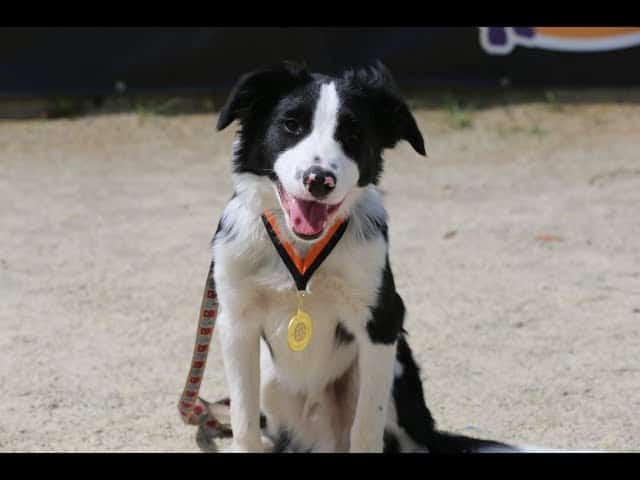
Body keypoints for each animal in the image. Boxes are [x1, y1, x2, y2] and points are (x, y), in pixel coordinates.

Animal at [212, 61, 524, 454]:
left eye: (353, 133)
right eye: (291, 124)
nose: (319, 180)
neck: (302, 248)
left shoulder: (382, 322)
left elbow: (365, 427)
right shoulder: (236, 321)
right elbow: (244, 420)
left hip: (394, 371)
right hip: (271, 377)